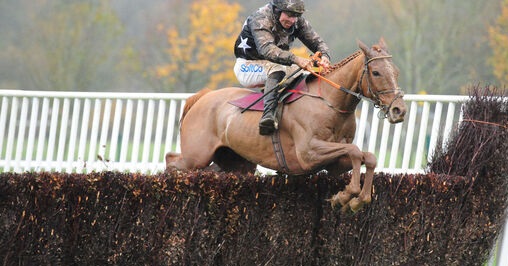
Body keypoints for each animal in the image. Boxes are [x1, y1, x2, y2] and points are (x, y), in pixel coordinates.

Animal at [167, 38, 408, 212]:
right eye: (376, 72)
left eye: (396, 72)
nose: (399, 110)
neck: (328, 102)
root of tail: (203, 97)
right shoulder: (308, 153)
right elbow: (356, 151)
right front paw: (346, 196)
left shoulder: (334, 163)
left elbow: (367, 156)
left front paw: (355, 199)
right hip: (196, 156)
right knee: (171, 160)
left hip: (235, 163)